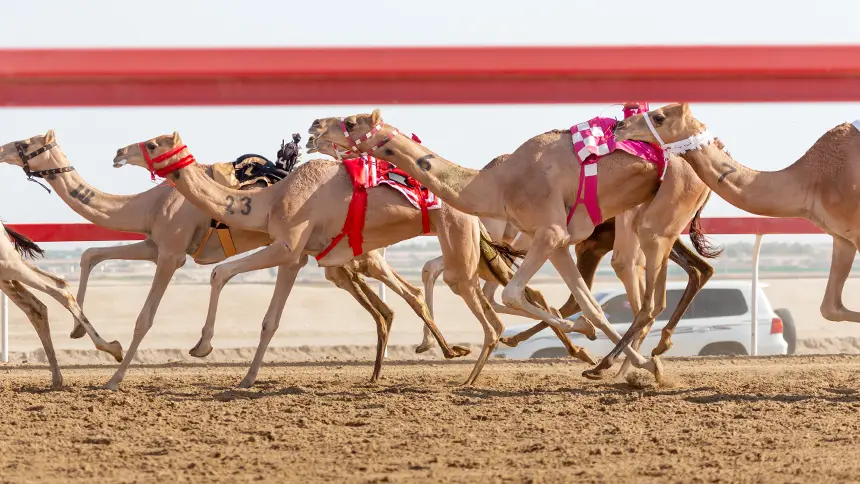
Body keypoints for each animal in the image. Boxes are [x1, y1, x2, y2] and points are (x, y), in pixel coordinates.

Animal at [2, 131, 464, 390]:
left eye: (26, 144)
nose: (118, 152)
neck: (147, 205)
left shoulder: (171, 252)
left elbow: (146, 317)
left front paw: (115, 376)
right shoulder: (156, 245)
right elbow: (90, 254)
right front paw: (86, 336)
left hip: (361, 257)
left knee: (406, 291)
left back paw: (441, 349)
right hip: (343, 261)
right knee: (387, 302)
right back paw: (406, 360)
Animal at [113, 132, 590, 387]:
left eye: (152, 143)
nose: (119, 152)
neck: (272, 198)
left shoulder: (288, 246)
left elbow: (222, 275)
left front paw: (202, 347)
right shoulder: (304, 254)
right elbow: (267, 314)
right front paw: (244, 376)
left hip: (460, 246)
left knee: (487, 310)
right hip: (471, 245)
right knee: (496, 300)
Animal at [310, 108, 720, 382]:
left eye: (350, 122)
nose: (314, 127)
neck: (497, 183)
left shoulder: (549, 232)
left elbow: (514, 295)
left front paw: (583, 340)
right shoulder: (556, 241)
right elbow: (591, 307)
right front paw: (619, 353)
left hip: (659, 215)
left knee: (650, 288)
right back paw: (633, 362)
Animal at [613, 103, 860, 330]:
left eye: (659, 117)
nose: (620, 126)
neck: (811, 180)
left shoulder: (856, 232)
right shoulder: (842, 238)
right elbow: (830, 308)